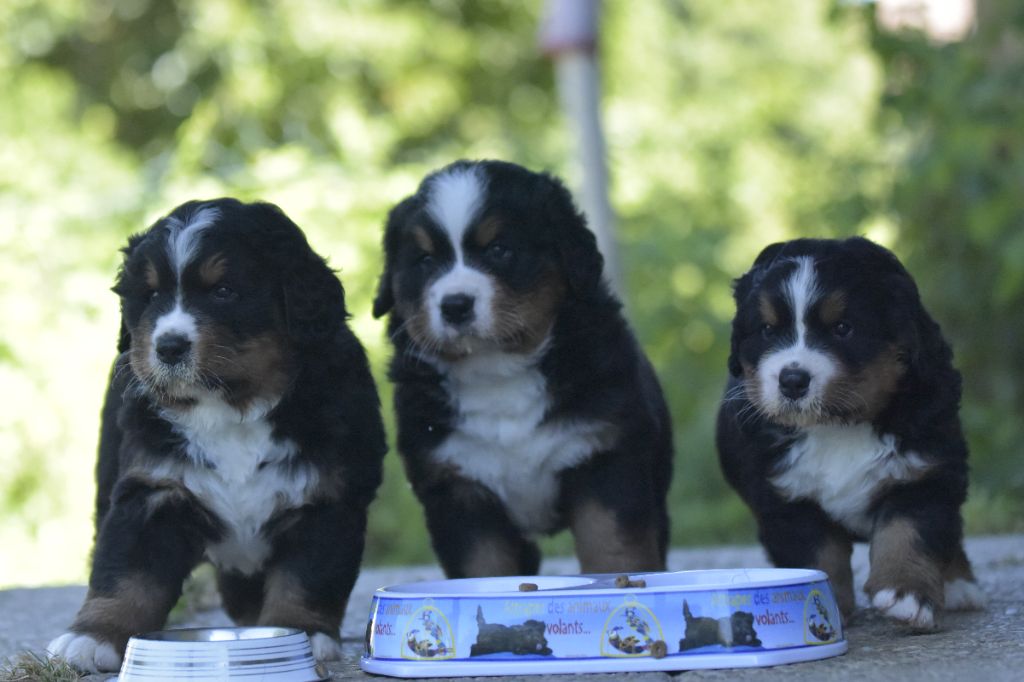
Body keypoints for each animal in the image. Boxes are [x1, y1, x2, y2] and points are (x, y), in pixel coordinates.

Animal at [47, 196, 387, 667]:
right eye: (151, 295)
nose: (168, 347)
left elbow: (306, 578)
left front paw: (302, 633)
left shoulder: (325, 501)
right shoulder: (152, 491)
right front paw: (92, 637)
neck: (230, 410)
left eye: (223, 291)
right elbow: (125, 573)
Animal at [372, 160, 675, 577]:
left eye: (500, 250)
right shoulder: (458, 488)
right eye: (426, 260)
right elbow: (484, 571)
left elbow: (615, 552)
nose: (455, 305)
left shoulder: (604, 459)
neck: (498, 372)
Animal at [716, 237, 987, 626]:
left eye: (843, 328)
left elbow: (908, 533)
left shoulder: (923, 473)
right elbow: (818, 556)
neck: (837, 427)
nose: (792, 380)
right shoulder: (786, 499)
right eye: (768, 330)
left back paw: (960, 586)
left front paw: (906, 593)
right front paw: (824, 604)